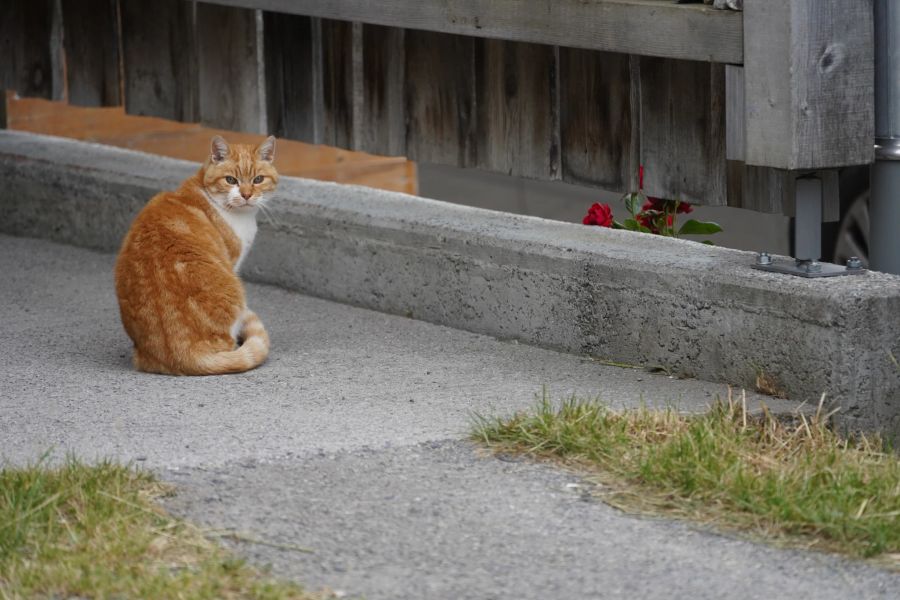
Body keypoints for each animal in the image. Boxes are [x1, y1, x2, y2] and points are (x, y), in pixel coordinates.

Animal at [116, 136, 278, 376]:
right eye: (231, 180)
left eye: (258, 179)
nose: (247, 194)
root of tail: (183, 356)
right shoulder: (232, 261)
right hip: (235, 291)